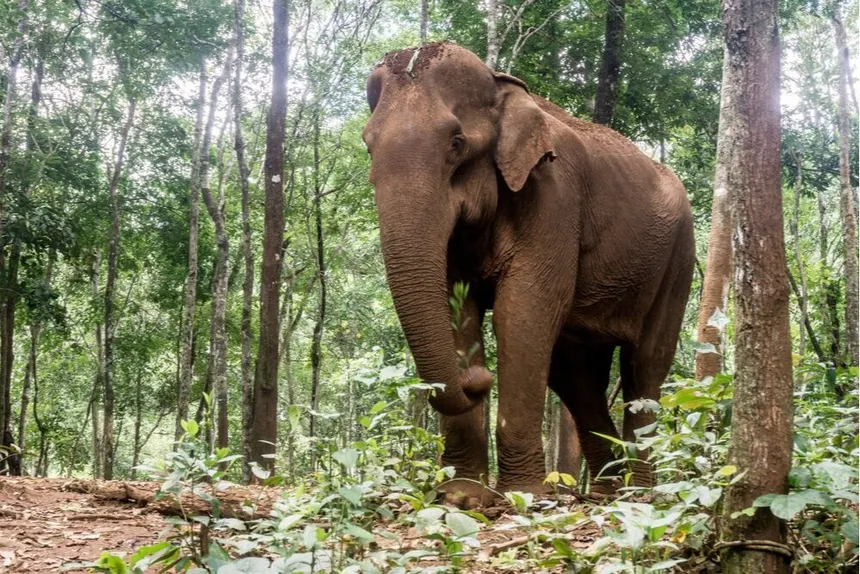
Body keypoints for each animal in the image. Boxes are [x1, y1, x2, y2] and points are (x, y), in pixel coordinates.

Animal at [362, 42, 694, 504]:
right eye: (367, 147)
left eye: (456, 142)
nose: (476, 378)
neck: (502, 87)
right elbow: (458, 311)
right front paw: (462, 497)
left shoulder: (553, 195)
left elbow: (521, 313)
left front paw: (524, 495)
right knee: (575, 377)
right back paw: (604, 493)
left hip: (679, 258)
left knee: (643, 366)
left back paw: (638, 493)